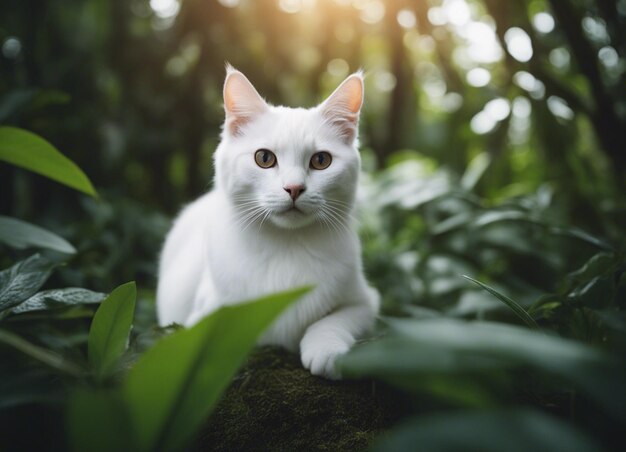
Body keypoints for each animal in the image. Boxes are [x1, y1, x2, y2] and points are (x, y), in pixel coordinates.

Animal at [158, 66, 378, 378]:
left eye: (321, 161)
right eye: (264, 158)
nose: (294, 188)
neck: (286, 247)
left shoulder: (366, 301)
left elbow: (332, 320)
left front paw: (327, 350)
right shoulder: (203, 314)